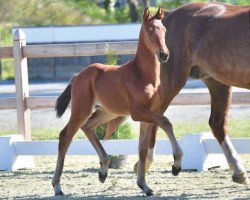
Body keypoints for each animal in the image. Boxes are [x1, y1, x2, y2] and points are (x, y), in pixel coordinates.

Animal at [52, 7, 183, 196]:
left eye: (164, 30)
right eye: (149, 31)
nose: (164, 54)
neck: (144, 75)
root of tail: (78, 76)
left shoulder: (149, 114)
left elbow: (142, 149)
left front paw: (144, 185)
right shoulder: (138, 113)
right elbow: (166, 122)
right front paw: (176, 165)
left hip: (107, 112)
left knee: (88, 127)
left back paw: (103, 170)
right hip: (81, 110)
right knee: (65, 137)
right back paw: (57, 186)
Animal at [108, 1, 249, 186]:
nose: (163, 54)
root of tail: (170, 14)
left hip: (216, 81)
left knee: (216, 123)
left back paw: (238, 171)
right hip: (172, 82)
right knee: (156, 118)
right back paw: (155, 163)